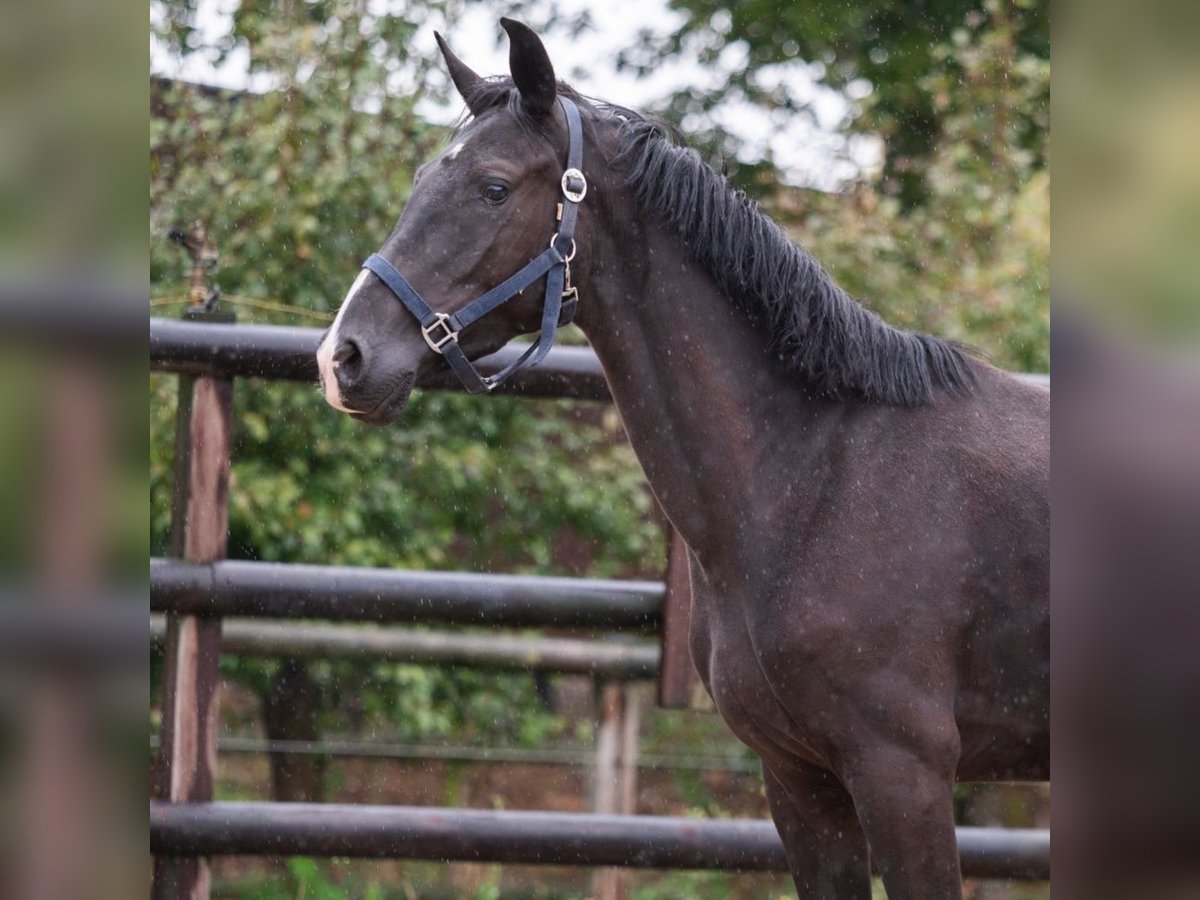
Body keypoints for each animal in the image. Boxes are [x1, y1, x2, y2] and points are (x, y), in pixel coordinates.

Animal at [319, 22, 1051, 900]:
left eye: (493, 188)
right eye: (424, 177)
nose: (344, 357)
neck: (816, 479)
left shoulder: (903, 777)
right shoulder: (800, 780)